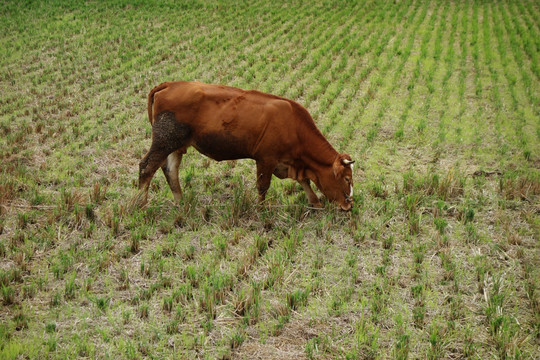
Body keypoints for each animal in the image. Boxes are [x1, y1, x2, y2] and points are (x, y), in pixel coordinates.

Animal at [138, 81, 354, 211]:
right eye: (347, 178)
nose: (349, 206)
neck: (293, 124)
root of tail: (170, 84)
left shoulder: (289, 162)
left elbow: (304, 181)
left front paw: (315, 202)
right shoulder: (266, 159)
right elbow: (263, 186)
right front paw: (262, 209)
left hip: (175, 146)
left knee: (170, 171)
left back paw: (181, 203)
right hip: (164, 142)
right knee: (146, 167)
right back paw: (140, 204)